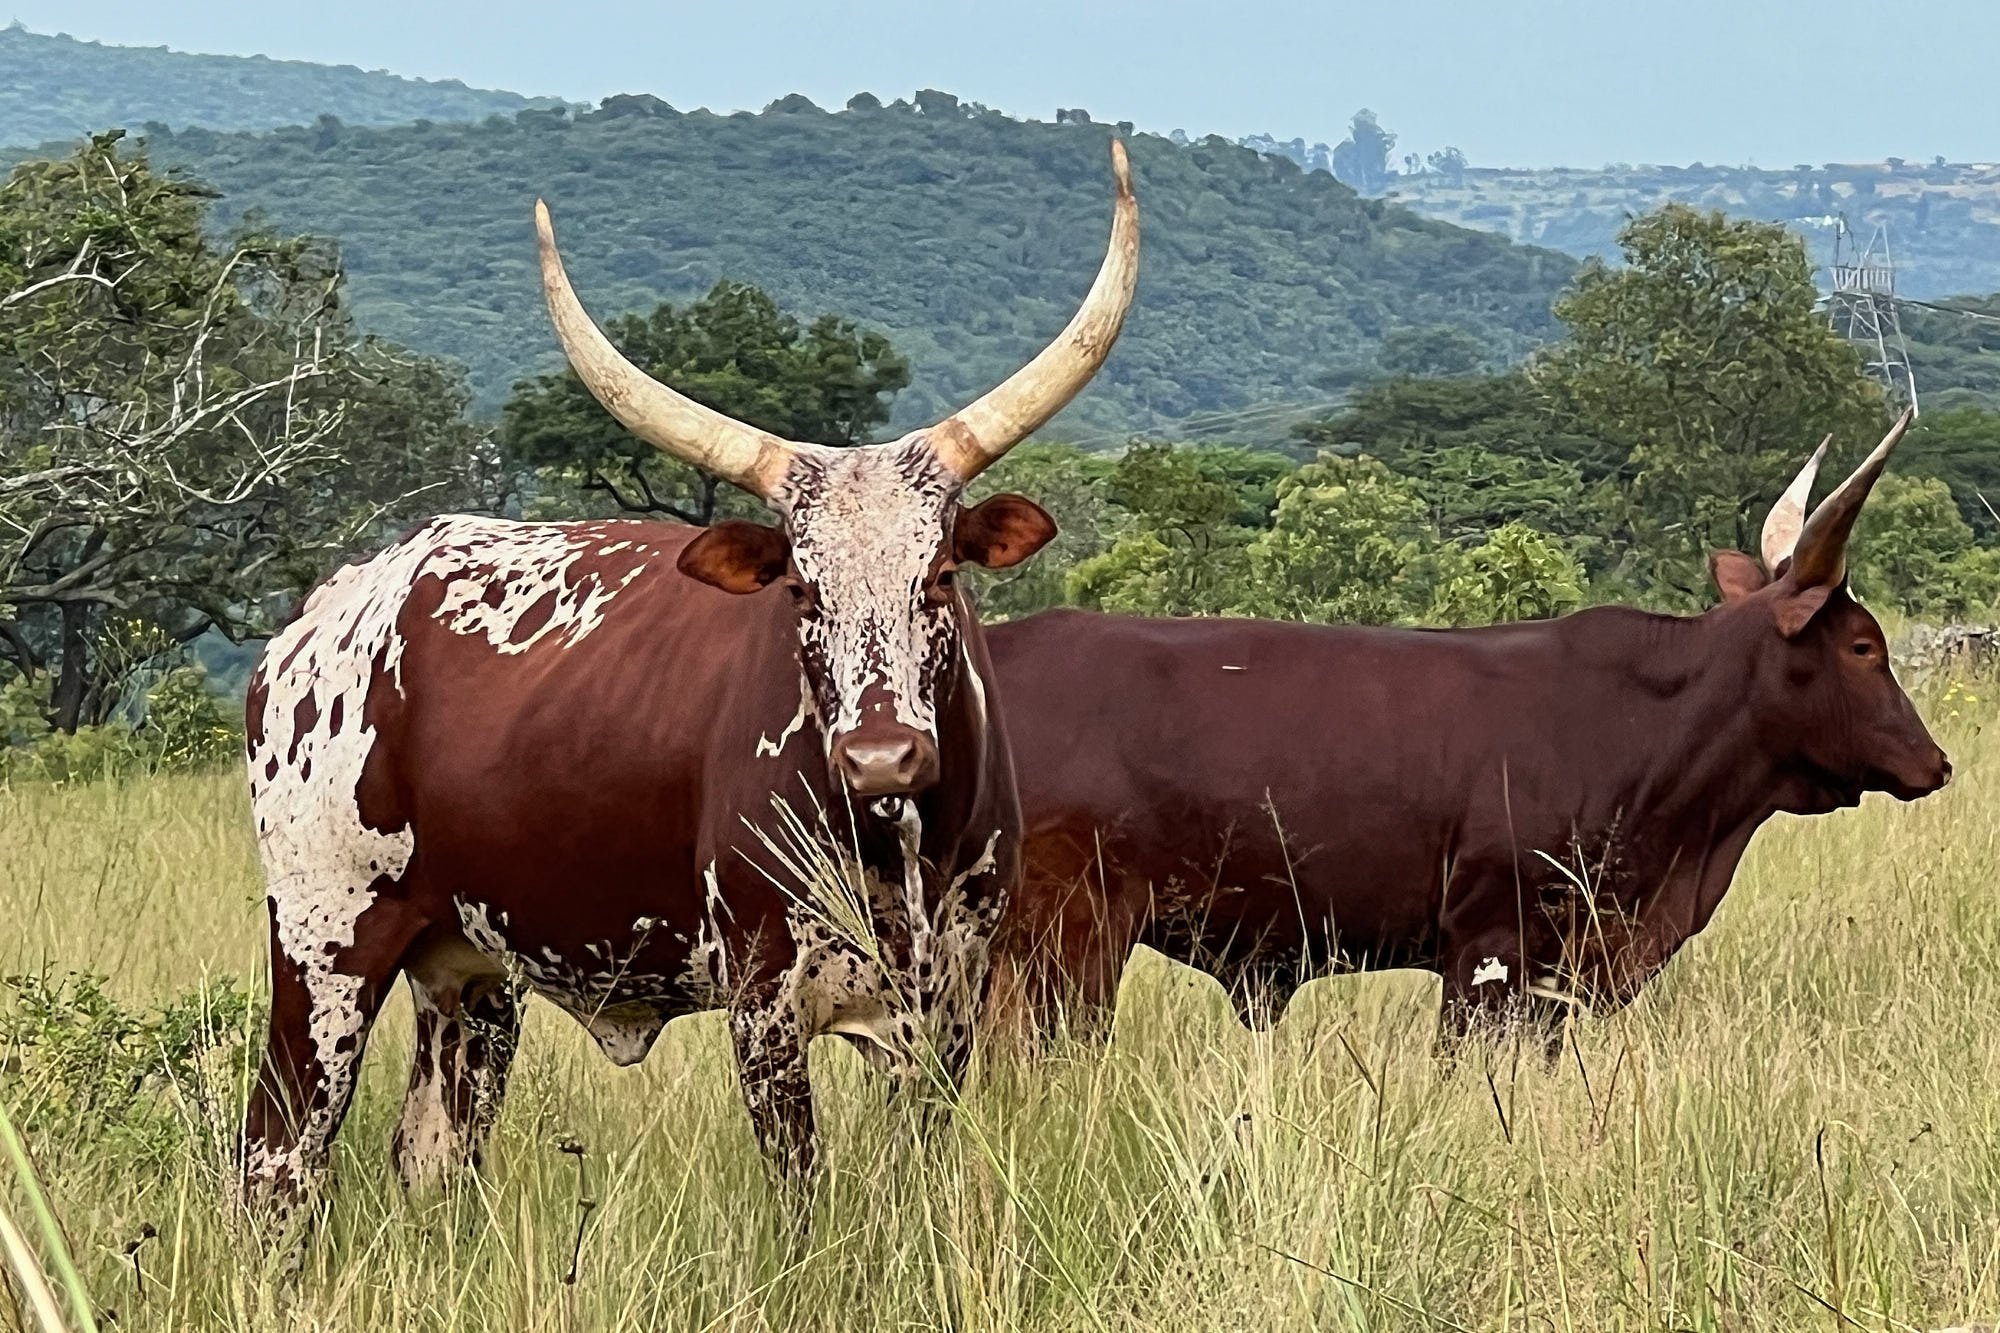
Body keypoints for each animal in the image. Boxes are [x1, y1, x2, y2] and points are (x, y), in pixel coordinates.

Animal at [238, 143, 1139, 1203]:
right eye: (800, 586)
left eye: (942, 574)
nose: (881, 757)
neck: (893, 848)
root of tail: (325, 612)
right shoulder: (763, 1005)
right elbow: (803, 1195)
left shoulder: (946, 1011)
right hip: (323, 943)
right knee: (276, 1155)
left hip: (470, 977)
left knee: (432, 1154)